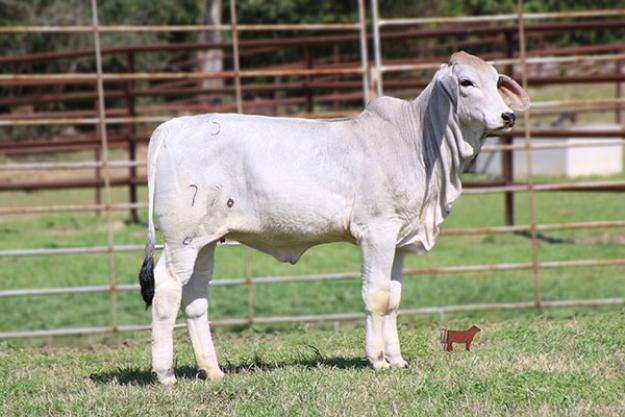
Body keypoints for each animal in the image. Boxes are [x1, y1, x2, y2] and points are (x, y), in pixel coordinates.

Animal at [138, 51, 529, 384]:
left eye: (496, 80)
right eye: (466, 82)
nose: (507, 117)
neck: (417, 142)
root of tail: (169, 129)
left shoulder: (399, 240)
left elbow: (394, 299)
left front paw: (397, 359)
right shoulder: (376, 231)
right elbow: (376, 296)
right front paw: (378, 360)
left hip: (206, 241)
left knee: (195, 299)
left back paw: (213, 371)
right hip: (181, 240)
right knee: (167, 290)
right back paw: (165, 374)